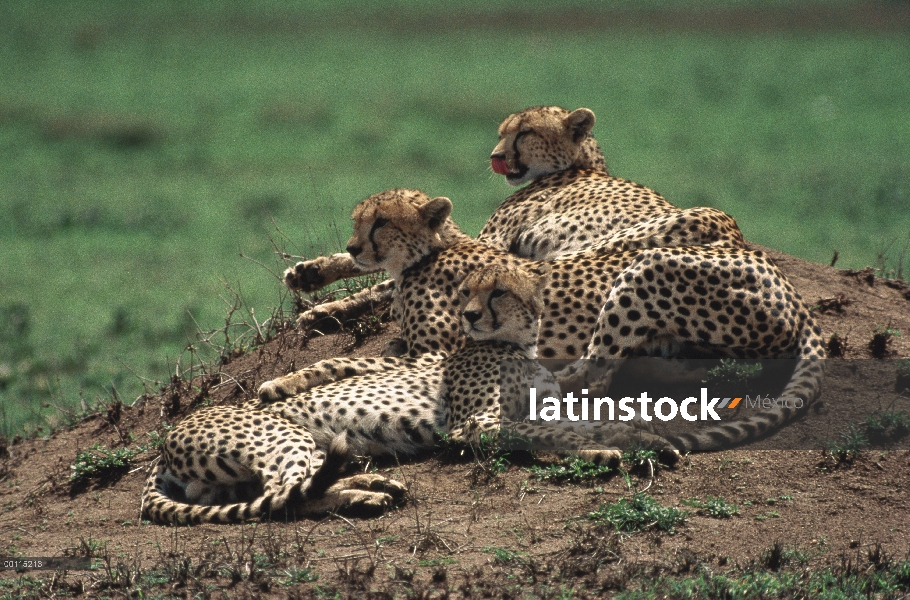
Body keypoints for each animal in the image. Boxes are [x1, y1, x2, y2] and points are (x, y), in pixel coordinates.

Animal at [140, 408, 406, 524]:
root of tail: (161, 455)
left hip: (229, 486)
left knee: (292, 492)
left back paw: (373, 484)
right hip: (290, 437)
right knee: (284, 495)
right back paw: (366, 497)